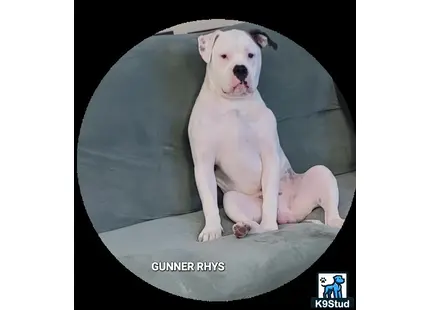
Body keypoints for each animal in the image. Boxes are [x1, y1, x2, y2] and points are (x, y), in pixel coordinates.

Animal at [188, 28, 346, 242]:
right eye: (224, 56)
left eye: (250, 55)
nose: (241, 69)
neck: (234, 104)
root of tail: (289, 214)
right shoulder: (203, 165)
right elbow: (209, 202)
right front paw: (211, 229)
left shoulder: (269, 155)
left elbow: (270, 198)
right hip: (231, 200)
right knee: (256, 224)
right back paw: (245, 228)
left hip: (321, 173)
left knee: (327, 215)